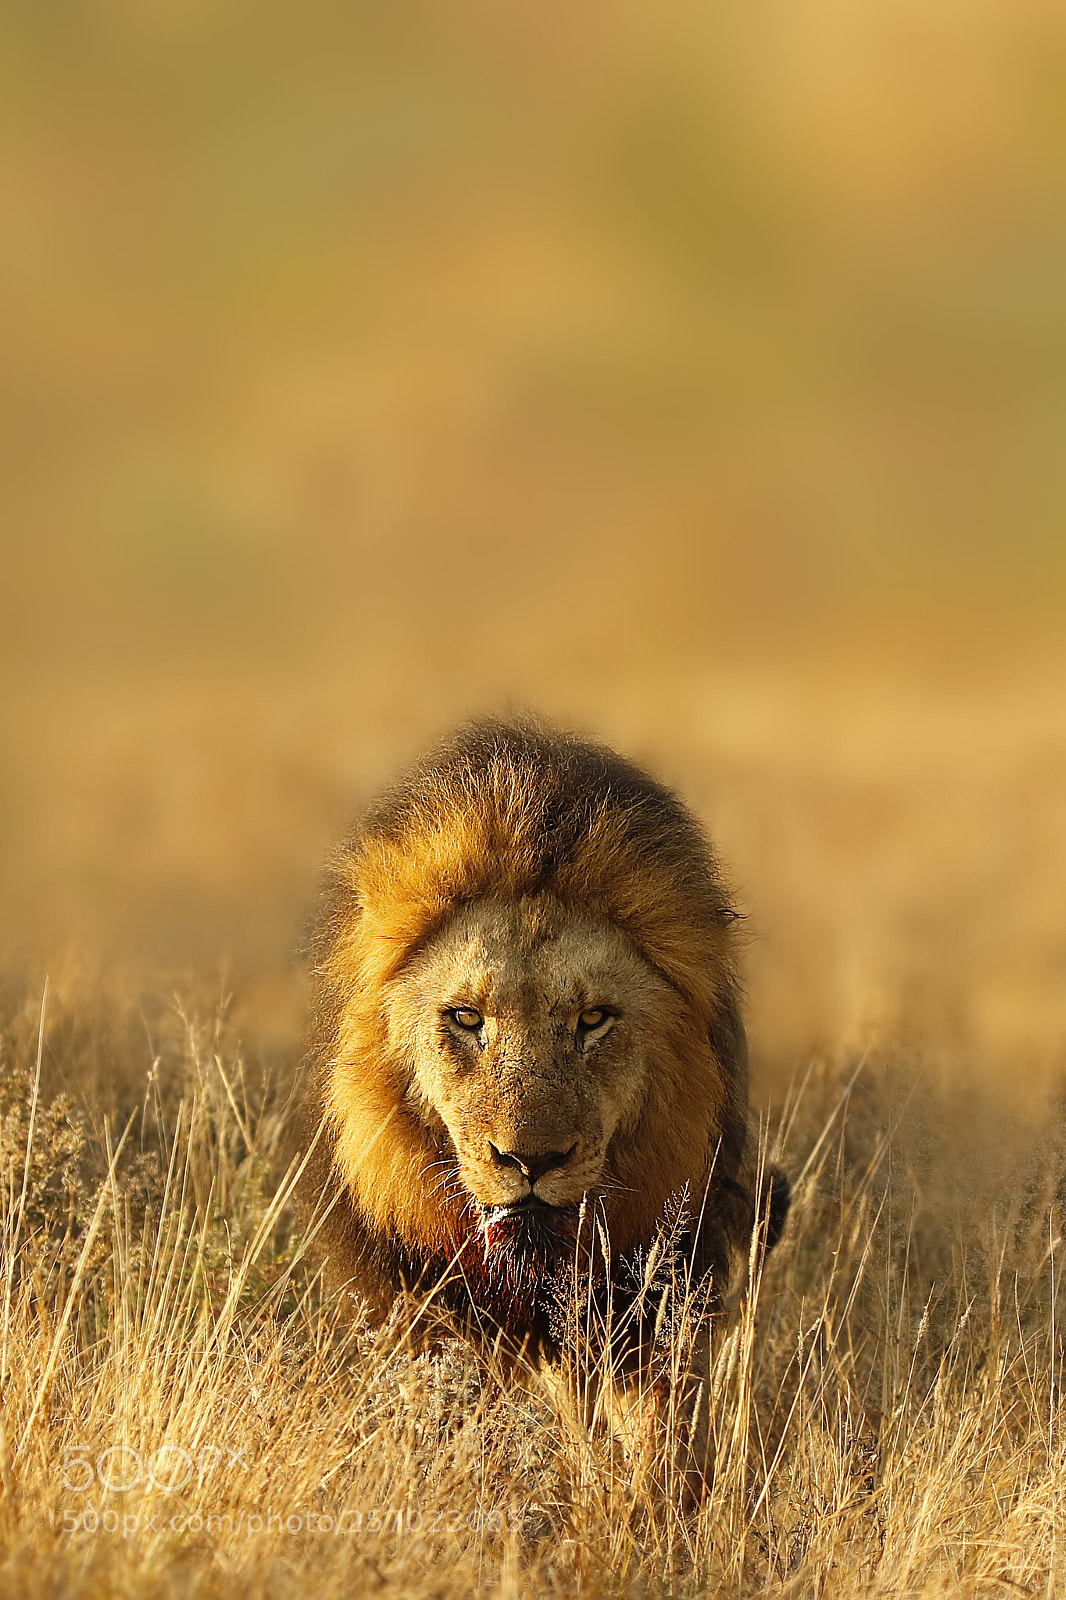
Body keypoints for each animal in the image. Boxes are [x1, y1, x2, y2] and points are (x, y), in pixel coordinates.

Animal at [294, 716, 788, 1496]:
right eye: (467, 1018)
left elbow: (657, 1430)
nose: (531, 1160)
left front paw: (650, 1503)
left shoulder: (660, 1294)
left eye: (593, 1020)